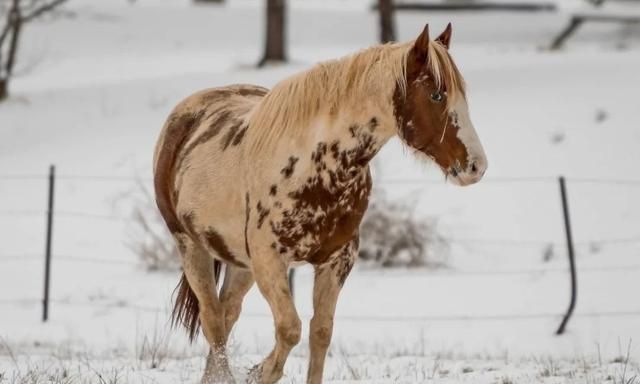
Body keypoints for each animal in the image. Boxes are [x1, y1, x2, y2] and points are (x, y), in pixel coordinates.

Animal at [154, 24, 484, 384]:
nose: (476, 166)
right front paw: (260, 372)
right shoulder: (270, 261)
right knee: (213, 321)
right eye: (437, 95)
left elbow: (320, 332)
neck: (314, 166)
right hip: (191, 248)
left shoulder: (336, 260)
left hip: (240, 263)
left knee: (227, 315)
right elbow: (289, 329)